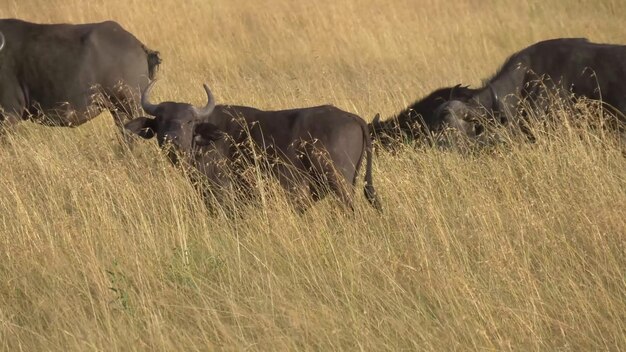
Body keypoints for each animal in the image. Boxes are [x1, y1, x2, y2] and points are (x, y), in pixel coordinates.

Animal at [124, 81, 380, 212]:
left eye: (189, 121)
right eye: (160, 120)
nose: (172, 138)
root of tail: (350, 116)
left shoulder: (222, 192)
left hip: (339, 182)